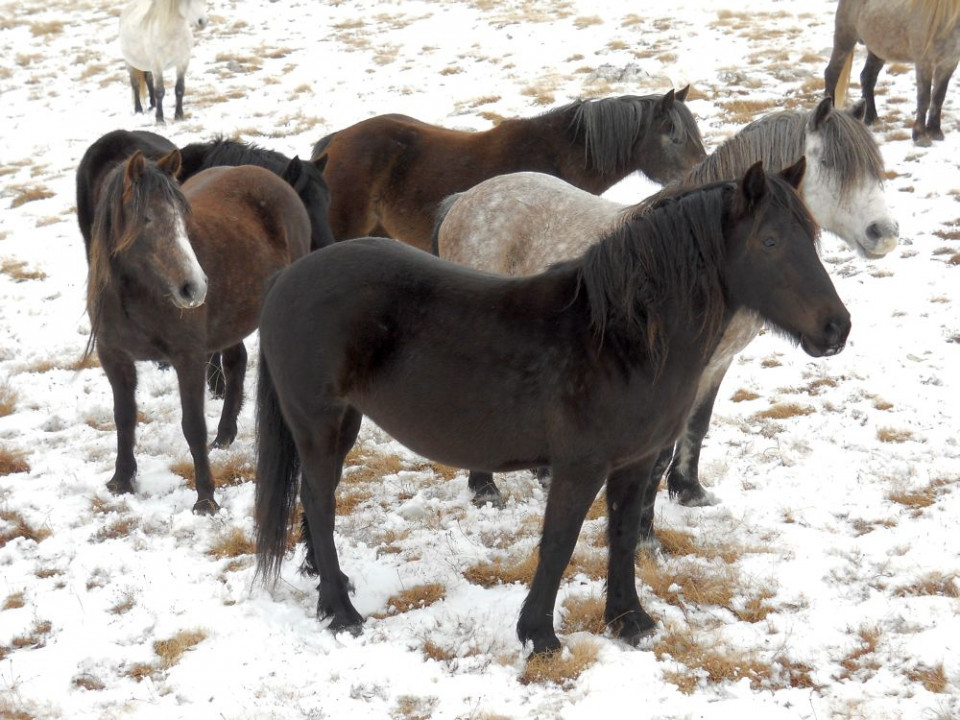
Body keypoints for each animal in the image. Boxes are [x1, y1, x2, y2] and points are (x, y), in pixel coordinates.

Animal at [86, 152, 310, 512]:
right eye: (146, 219)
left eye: (183, 220)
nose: (194, 287)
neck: (138, 294)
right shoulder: (115, 359)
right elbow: (124, 418)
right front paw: (121, 480)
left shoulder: (187, 358)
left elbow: (192, 426)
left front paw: (205, 498)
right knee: (236, 363)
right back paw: (225, 434)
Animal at [253, 160, 848, 656]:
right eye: (770, 240)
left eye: (813, 238)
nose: (836, 328)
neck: (623, 338)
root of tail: (286, 280)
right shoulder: (579, 467)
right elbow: (559, 543)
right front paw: (538, 634)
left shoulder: (634, 464)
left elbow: (623, 537)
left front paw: (630, 622)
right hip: (317, 420)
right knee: (319, 499)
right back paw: (340, 611)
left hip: (343, 422)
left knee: (317, 498)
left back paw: (329, 583)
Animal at [824, 0, 960, 145]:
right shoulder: (924, 63)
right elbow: (924, 99)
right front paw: (920, 136)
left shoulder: (948, 64)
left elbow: (938, 97)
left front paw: (935, 132)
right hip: (845, 39)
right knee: (831, 74)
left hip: (877, 51)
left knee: (867, 78)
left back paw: (872, 119)